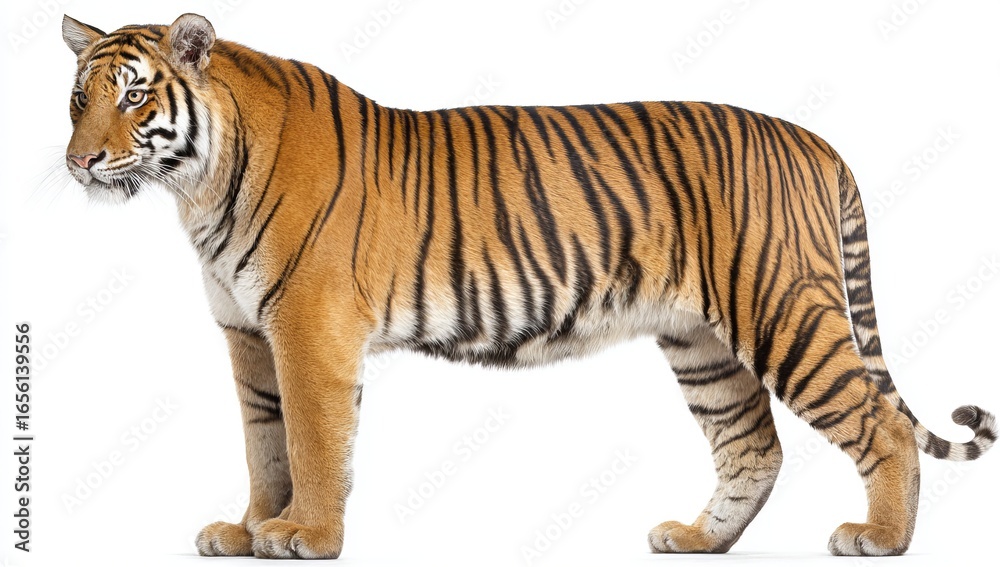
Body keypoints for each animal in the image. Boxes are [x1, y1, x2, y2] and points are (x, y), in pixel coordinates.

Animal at [61, 12, 997, 559]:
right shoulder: (249, 335)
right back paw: (697, 537)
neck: (197, 184)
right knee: (752, 447)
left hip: (782, 307)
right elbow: (265, 442)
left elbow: (314, 442)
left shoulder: (308, 328)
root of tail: (813, 138)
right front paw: (248, 528)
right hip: (702, 342)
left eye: (134, 98)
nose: (79, 162)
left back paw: (880, 537)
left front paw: (305, 535)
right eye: (77, 99)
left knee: (880, 423)